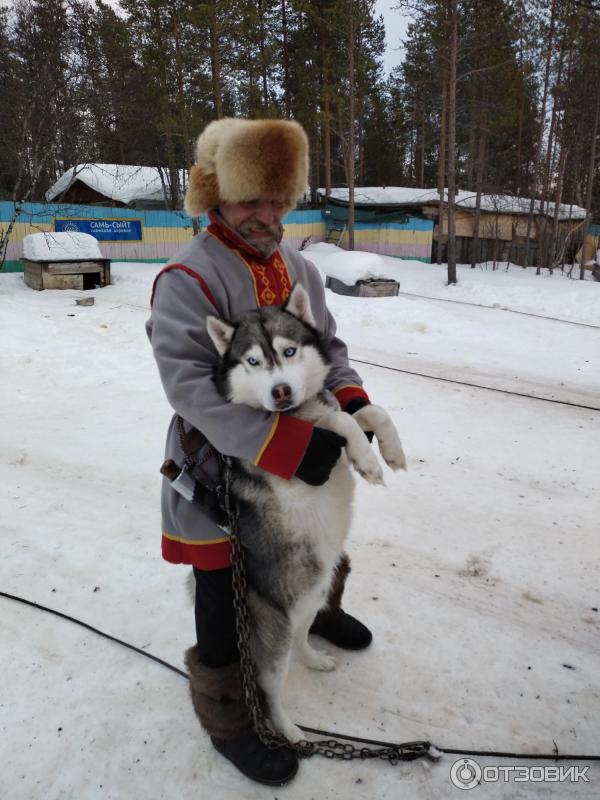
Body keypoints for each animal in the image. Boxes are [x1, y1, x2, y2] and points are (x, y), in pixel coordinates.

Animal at [206, 282, 408, 744]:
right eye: (253, 361)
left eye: (289, 351)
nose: (280, 392)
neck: (296, 412)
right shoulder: (296, 457)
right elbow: (340, 424)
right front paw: (367, 460)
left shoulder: (327, 408)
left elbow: (366, 412)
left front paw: (390, 450)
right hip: (273, 633)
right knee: (268, 689)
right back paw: (291, 733)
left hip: (312, 597)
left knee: (301, 639)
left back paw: (315, 659)